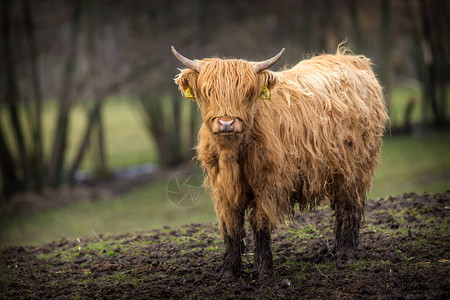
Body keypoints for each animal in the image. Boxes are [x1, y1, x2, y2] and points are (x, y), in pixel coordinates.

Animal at [171, 45, 388, 282]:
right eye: (208, 92)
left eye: (247, 93)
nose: (226, 123)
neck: (233, 154)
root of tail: (351, 58)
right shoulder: (222, 189)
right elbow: (231, 227)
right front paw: (229, 272)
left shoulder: (269, 184)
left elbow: (260, 223)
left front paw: (263, 271)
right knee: (341, 208)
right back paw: (333, 251)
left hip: (355, 169)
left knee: (350, 206)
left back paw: (344, 254)